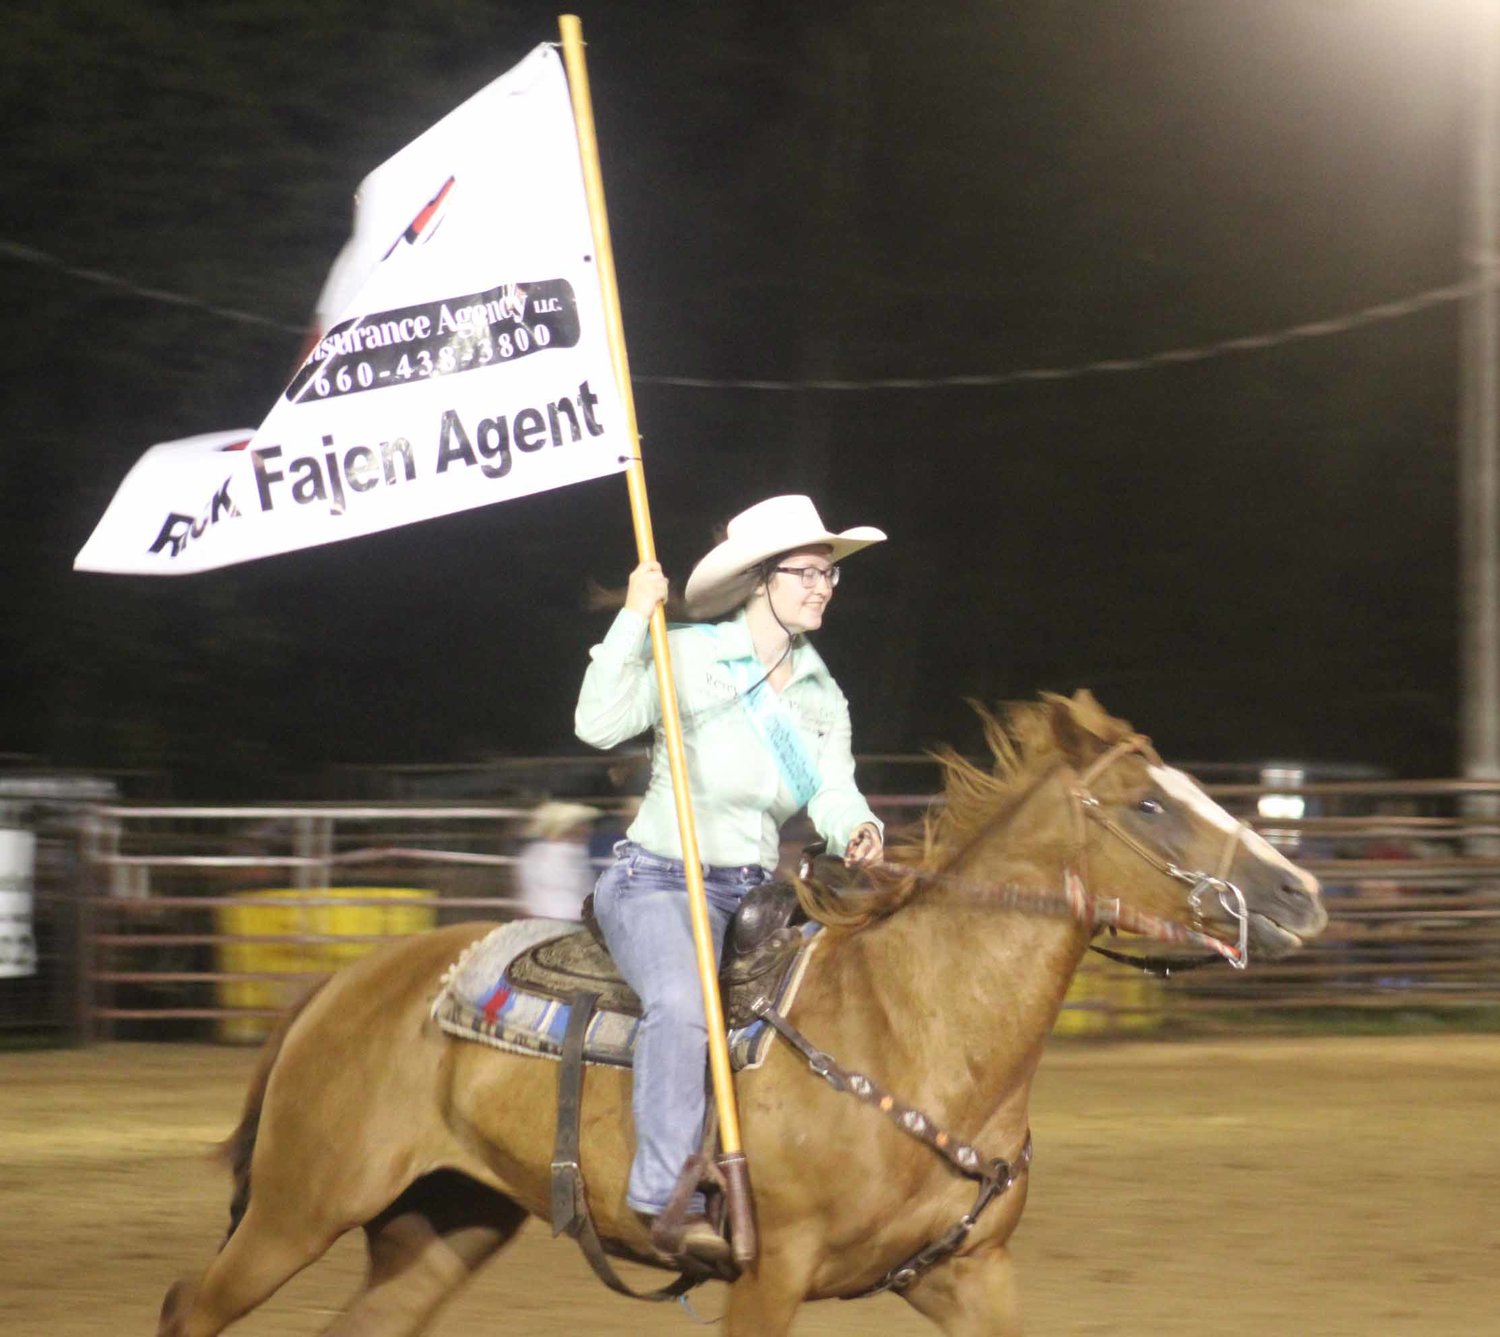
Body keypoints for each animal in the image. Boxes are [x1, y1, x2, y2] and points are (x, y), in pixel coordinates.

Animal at [152, 696, 1326, 1332]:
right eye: (1149, 803)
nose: (1298, 893)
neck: (917, 1025)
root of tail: (342, 983)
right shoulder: (769, 1276)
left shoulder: (969, 1274)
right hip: (299, 1204)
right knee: (190, 1305)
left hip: (443, 1220)